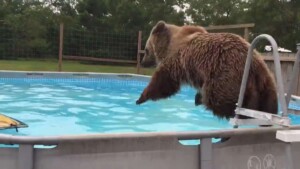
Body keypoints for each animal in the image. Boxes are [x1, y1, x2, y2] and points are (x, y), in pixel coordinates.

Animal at [137, 20, 278, 119]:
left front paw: (141, 97)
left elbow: (163, 82)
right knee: (269, 103)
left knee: (219, 100)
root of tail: (255, 66)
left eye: (146, 50)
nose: (143, 62)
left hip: (225, 74)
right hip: (266, 82)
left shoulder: (176, 60)